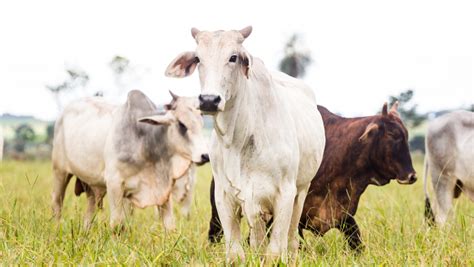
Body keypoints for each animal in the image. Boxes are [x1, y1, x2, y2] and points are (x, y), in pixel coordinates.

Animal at [51, 90, 207, 230]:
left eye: (202, 123)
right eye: (181, 124)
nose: (205, 155)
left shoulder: (163, 190)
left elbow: (170, 226)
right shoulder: (114, 184)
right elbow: (117, 225)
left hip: (91, 185)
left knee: (90, 208)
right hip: (59, 172)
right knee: (57, 204)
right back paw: (56, 230)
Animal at [166, 27, 326, 262]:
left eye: (233, 57)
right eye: (198, 58)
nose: (209, 100)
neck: (238, 139)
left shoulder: (285, 193)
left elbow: (275, 251)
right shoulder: (225, 196)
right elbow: (236, 252)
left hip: (301, 190)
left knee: (291, 238)